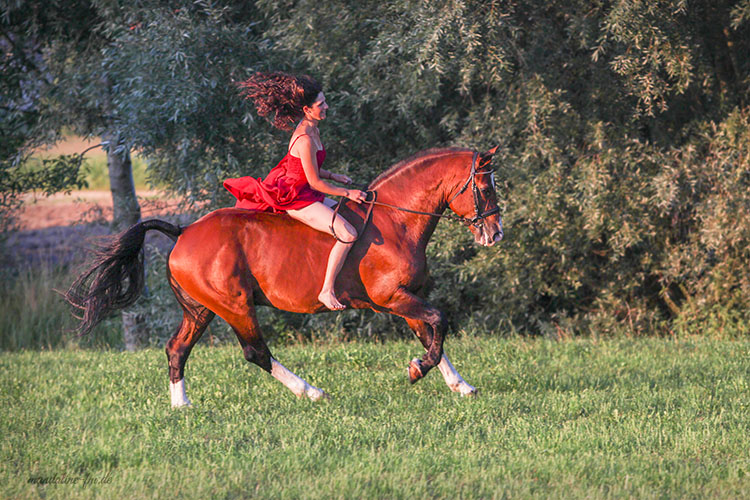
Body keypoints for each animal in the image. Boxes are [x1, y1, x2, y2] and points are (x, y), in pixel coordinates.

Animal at [66, 146, 503, 407]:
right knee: (255, 352)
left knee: (177, 349)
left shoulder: (404, 297)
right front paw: (417, 370)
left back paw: (181, 406)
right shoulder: (392, 297)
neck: (396, 219)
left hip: (200, 309)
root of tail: (184, 231)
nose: (495, 234)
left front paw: (459, 385)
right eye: (485, 188)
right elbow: (438, 322)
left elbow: (431, 334)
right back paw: (312, 392)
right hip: (234, 306)